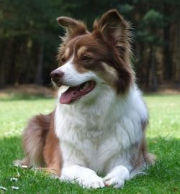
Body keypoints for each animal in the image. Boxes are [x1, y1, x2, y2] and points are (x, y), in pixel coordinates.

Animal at [14, 9, 155, 189]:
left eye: (86, 58)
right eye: (64, 59)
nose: (54, 75)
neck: (94, 112)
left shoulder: (132, 159)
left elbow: (122, 168)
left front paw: (114, 178)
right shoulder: (65, 164)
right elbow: (81, 169)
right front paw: (93, 179)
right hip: (35, 126)